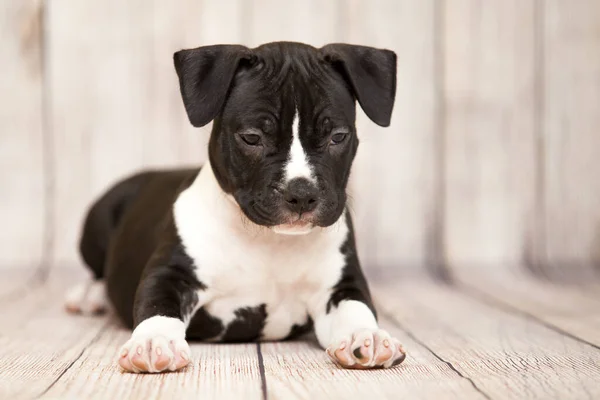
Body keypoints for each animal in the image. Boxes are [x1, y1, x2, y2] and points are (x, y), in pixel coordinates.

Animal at [64, 40, 408, 372]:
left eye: (338, 136)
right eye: (252, 137)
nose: (301, 193)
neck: (268, 240)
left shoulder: (341, 286)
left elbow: (356, 309)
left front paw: (367, 337)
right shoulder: (171, 275)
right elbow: (158, 307)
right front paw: (153, 342)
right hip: (96, 221)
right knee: (96, 270)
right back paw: (88, 295)